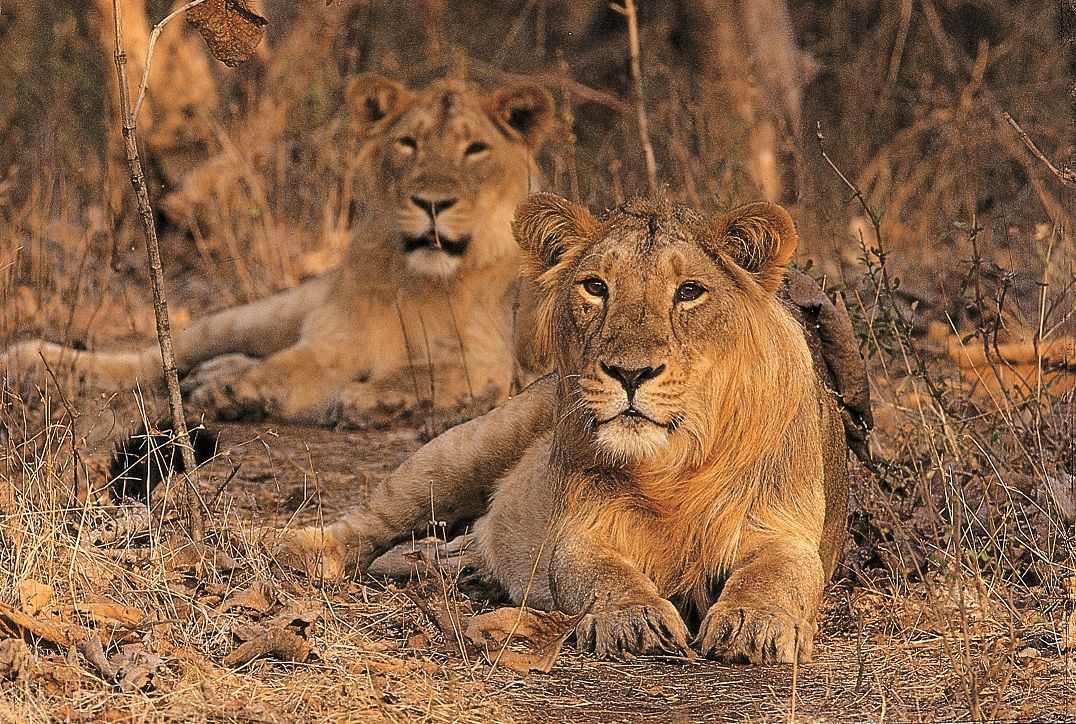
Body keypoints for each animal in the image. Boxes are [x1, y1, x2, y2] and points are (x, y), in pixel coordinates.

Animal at [2, 75, 554, 424]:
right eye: (408, 143)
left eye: (475, 149)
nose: (432, 203)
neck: (422, 281)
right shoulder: (335, 340)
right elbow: (291, 367)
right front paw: (238, 392)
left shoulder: (496, 360)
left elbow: (427, 371)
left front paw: (372, 400)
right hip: (263, 314)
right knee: (157, 357)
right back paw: (33, 362)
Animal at [278, 192, 859, 663]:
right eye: (596, 287)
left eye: (689, 291)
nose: (630, 372)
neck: (674, 466)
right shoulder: (579, 528)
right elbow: (600, 572)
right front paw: (633, 617)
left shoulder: (785, 528)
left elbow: (778, 574)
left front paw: (753, 623)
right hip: (466, 449)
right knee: (373, 519)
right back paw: (295, 548)